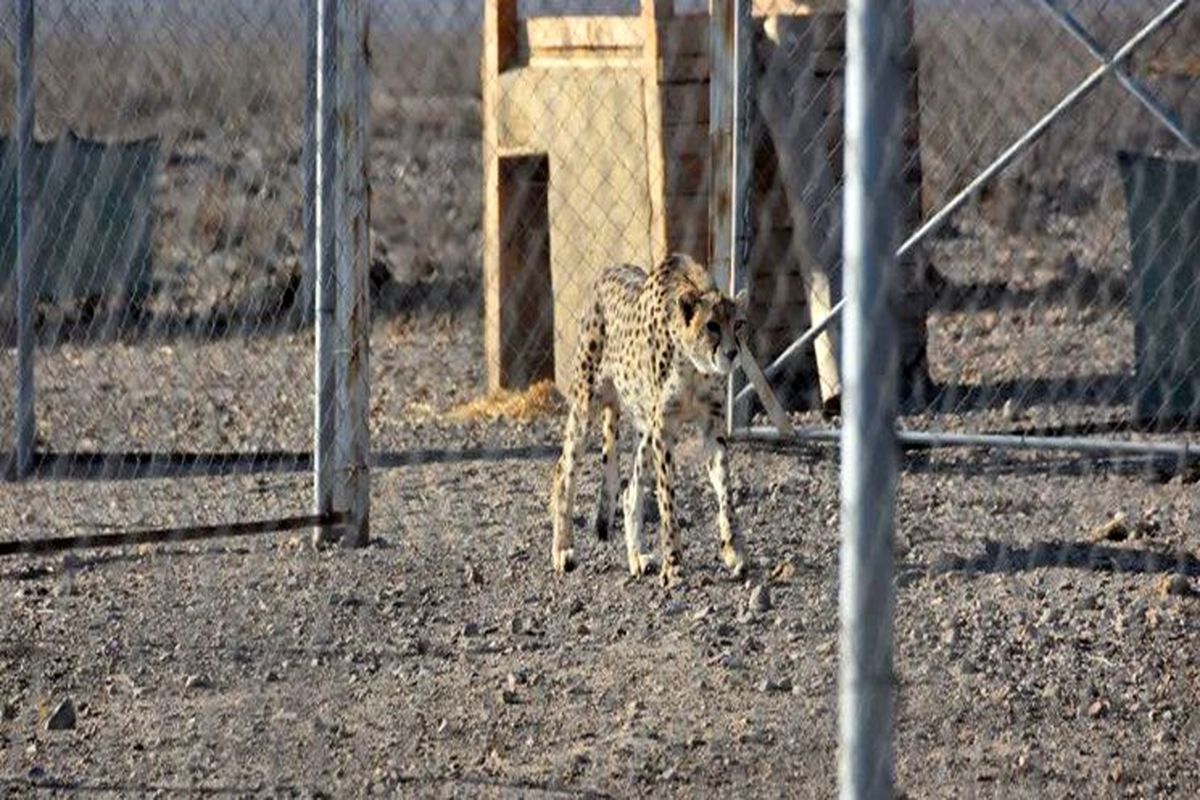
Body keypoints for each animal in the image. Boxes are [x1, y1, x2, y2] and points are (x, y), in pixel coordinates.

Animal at [549, 253, 744, 585]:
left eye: (740, 324)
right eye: (712, 326)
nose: (732, 353)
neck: (694, 365)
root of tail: (608, 270)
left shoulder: (711, 425)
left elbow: (725, 489)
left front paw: (733, 550)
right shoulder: (663, 429)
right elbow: (667, 499)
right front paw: (674, 564)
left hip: (643, 426)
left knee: (629, 491)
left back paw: (636, 558)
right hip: (587, 402)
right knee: (564, 471)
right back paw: (562, 549)